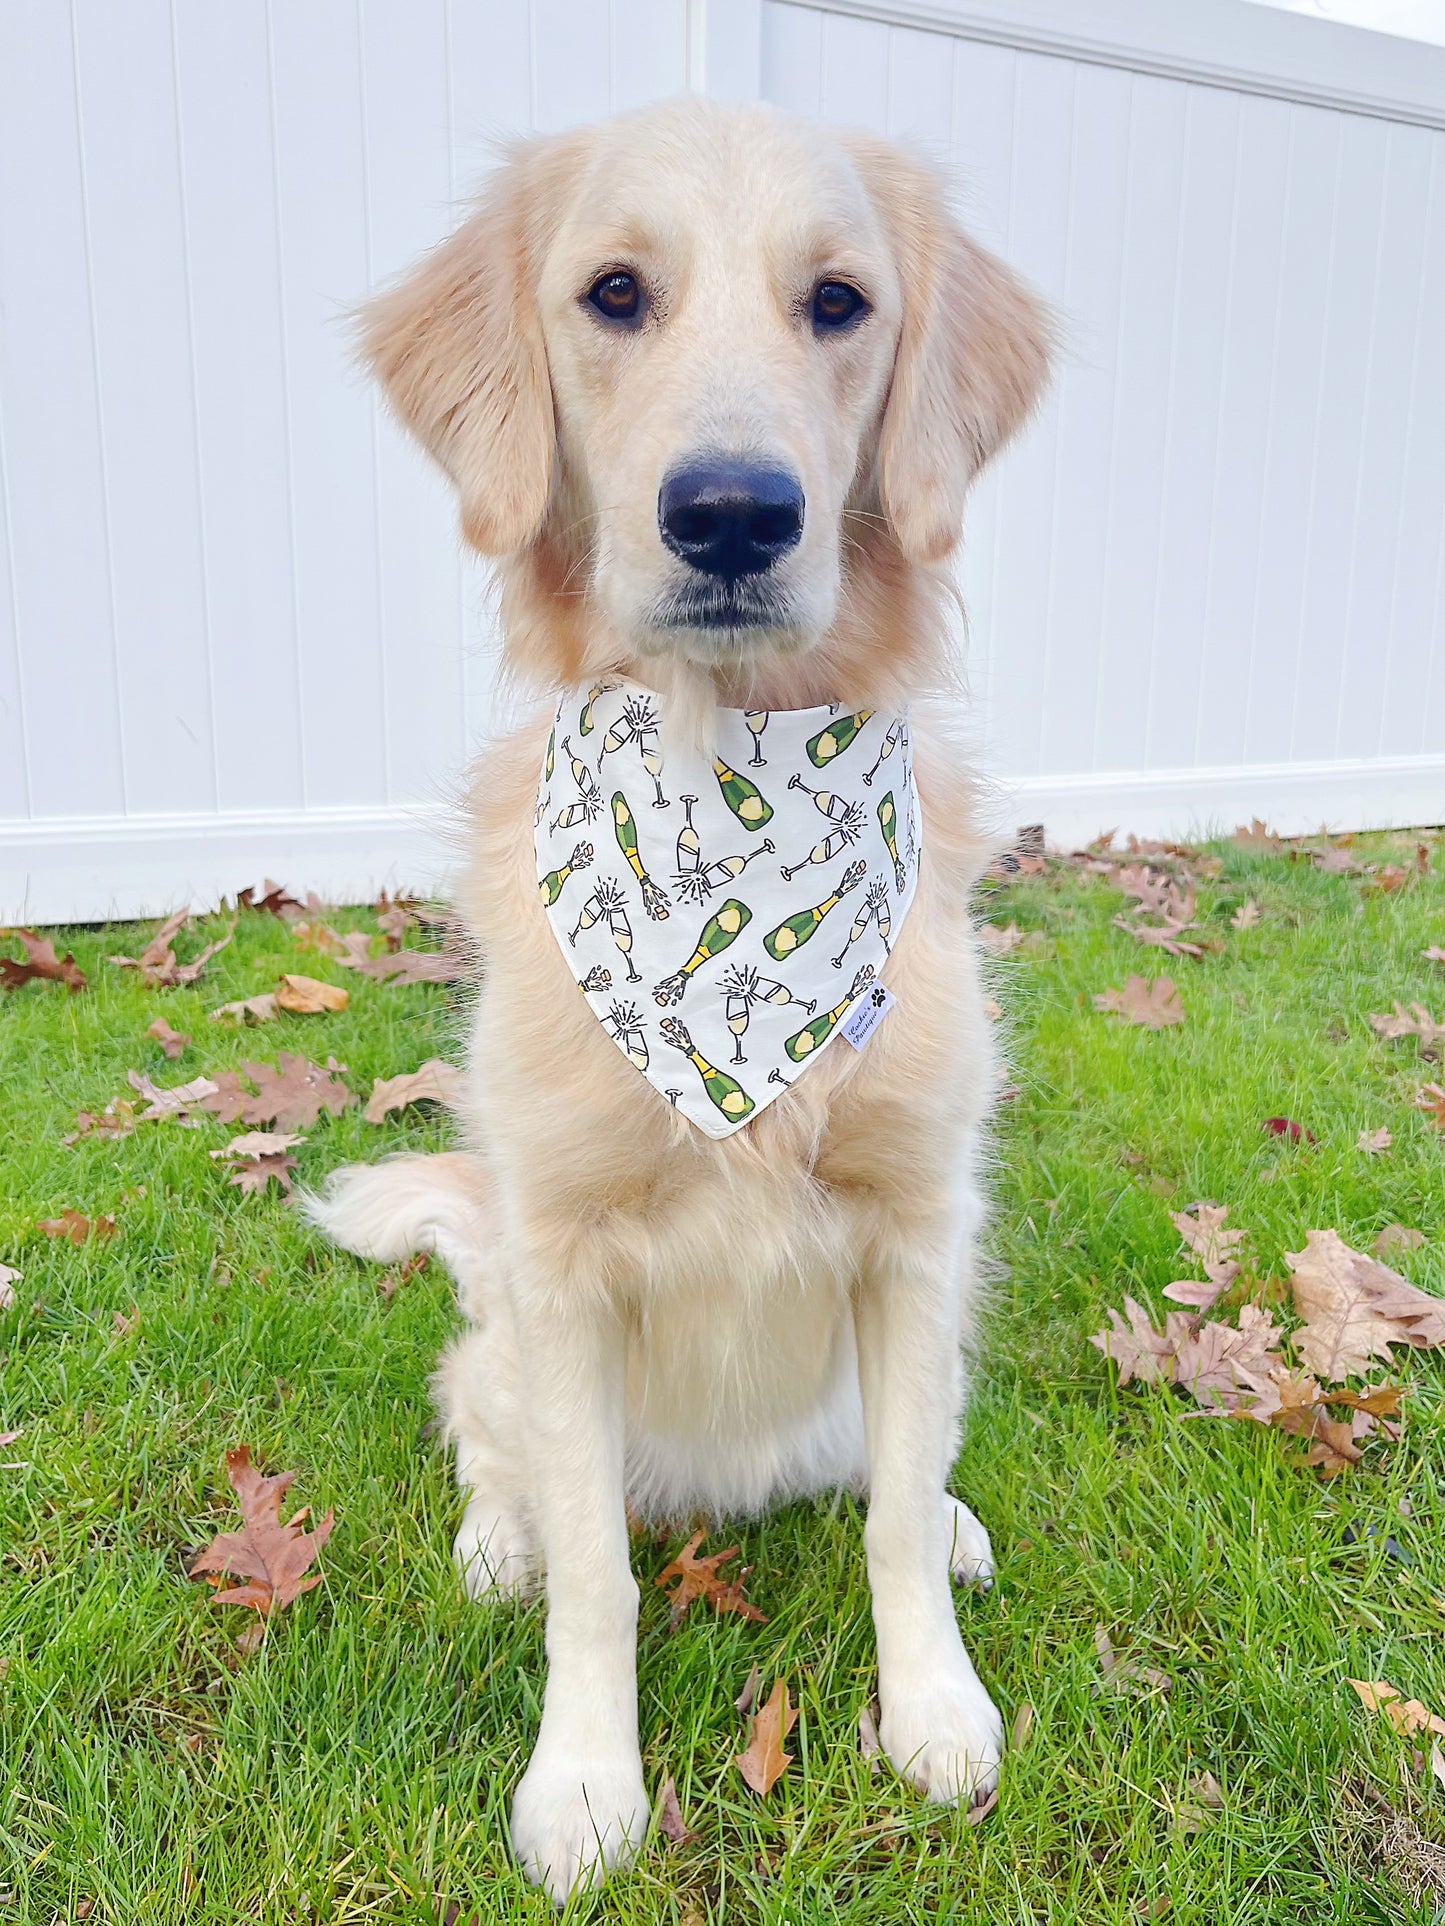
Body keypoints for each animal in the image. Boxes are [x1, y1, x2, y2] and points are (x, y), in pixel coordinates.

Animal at [308, 90, 1055, 1895]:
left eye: (840, 302)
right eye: (615, 293)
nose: (731, 513)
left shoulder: (918, 1229)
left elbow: (888, 1523)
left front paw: (934, 1707)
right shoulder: (565, 1266)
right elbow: (598, 1578)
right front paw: (584, 1785)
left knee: (898, 1466)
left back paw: (952, 1518)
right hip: (504, 1325)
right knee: (489, 1437)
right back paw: (494, 1536)